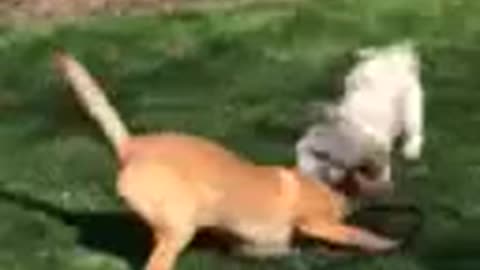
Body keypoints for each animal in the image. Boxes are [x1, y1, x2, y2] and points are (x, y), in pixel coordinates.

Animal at [53, 51, 398, 270]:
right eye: (371, 164)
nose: (390, 182)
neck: (326, 180)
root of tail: (132, 146)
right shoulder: (317, 223)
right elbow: (358, 235)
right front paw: (384, 243)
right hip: (179, 227)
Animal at [296, 40, 424, 194]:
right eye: (317, 153)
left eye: (323, 155)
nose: (304, 176)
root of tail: (393, 57)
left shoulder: (378, 149)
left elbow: (381, 169)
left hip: (411, 108)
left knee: (415, 131)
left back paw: (411, 150)